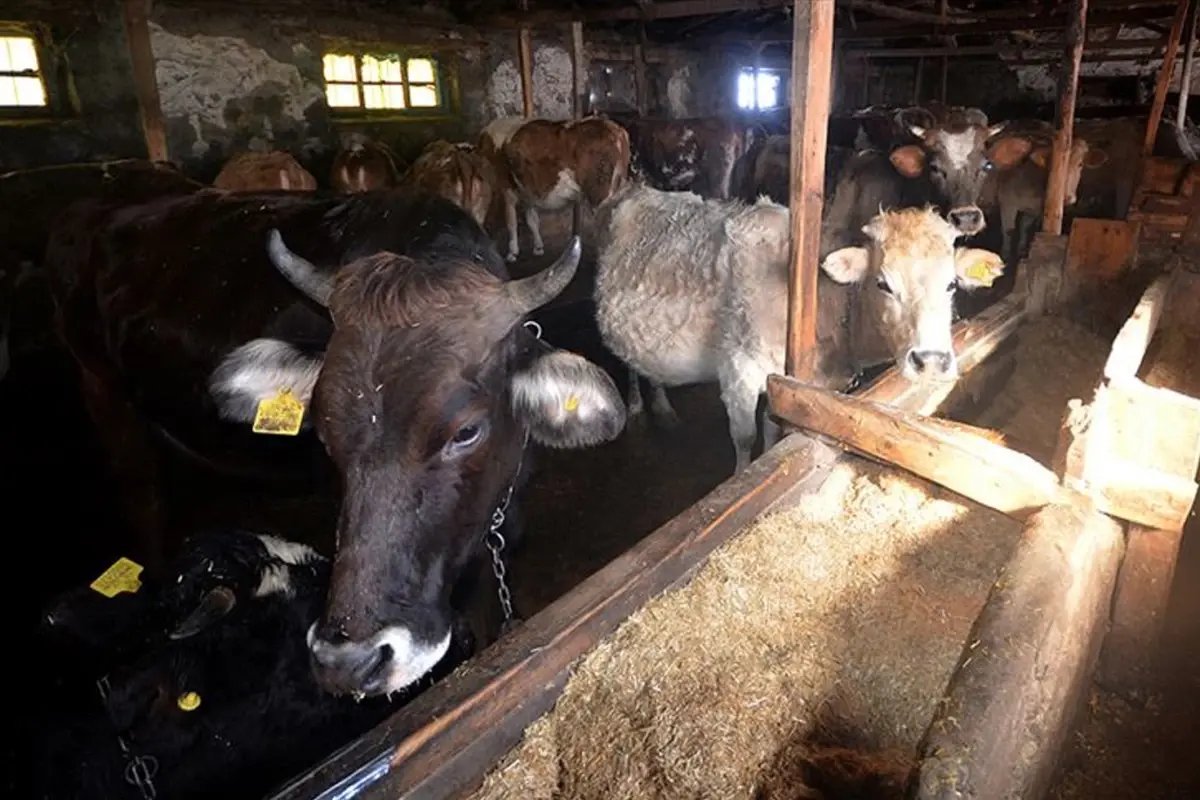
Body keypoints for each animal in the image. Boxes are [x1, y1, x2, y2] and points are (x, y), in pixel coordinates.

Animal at [479, 116, 631, 262]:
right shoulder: (528, 190)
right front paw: (538, 247)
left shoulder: (506, 186)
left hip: (600, 195)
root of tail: (616, 130)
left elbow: (511, 221)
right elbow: (532, 219)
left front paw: (512, 253)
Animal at [593, 185, 1005, 472]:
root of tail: (634, 190)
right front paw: (741, 477)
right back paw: (641, 407)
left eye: (951, 284)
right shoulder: (739, 372)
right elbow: (744, 438)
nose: (931, 360)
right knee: (629, 364)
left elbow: (774, 432)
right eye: (883, 283)